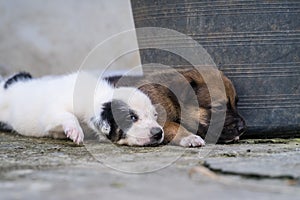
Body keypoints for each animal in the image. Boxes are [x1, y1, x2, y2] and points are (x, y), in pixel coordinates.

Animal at [0, 71, 164, 146]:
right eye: (132, 118)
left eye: (154, 115)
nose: (159, 133)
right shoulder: (52, 113)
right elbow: (67, 116)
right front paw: (75, 131)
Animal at [106, 66, 246, 146]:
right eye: (219, 108)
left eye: (236, 103)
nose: (243, 128)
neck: (170, 98)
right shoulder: (157, 124)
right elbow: (175, 126)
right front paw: (190, 137)